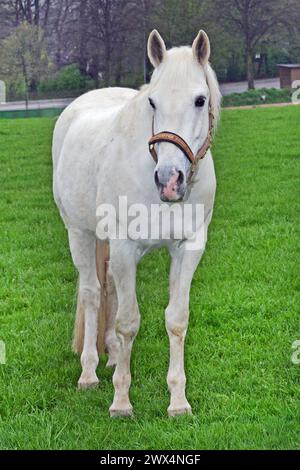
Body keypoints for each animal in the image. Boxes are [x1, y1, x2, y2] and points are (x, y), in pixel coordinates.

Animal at [52, 29, 220, 416]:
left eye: (200, 100)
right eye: (153, 102)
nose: (169, 180)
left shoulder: (189, 248)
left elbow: (176, 319)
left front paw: (178, 402)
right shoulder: (125, 246)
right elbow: (128, 322)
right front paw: (121, 402)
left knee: (109, 290)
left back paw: (113, 356)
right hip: (79, 233)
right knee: (92, 294)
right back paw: (89, 372)